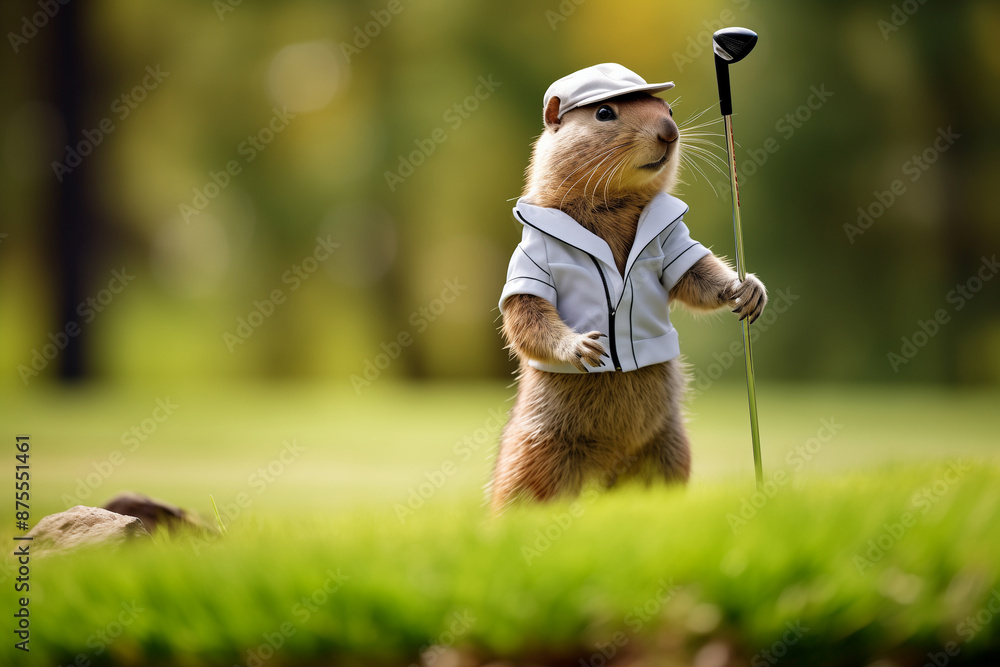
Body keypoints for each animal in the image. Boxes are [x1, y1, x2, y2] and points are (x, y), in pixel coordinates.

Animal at [491, 64, 767, 512]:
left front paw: (750, 291)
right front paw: (583, 348)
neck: (614, 202)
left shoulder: (671, 241)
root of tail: (608, 473)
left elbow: (697, 275)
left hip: (670, 447)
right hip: (535, 458)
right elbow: (528, 314)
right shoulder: (530, 258)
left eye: (668, 108)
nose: (670, 132)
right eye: (604, 112)